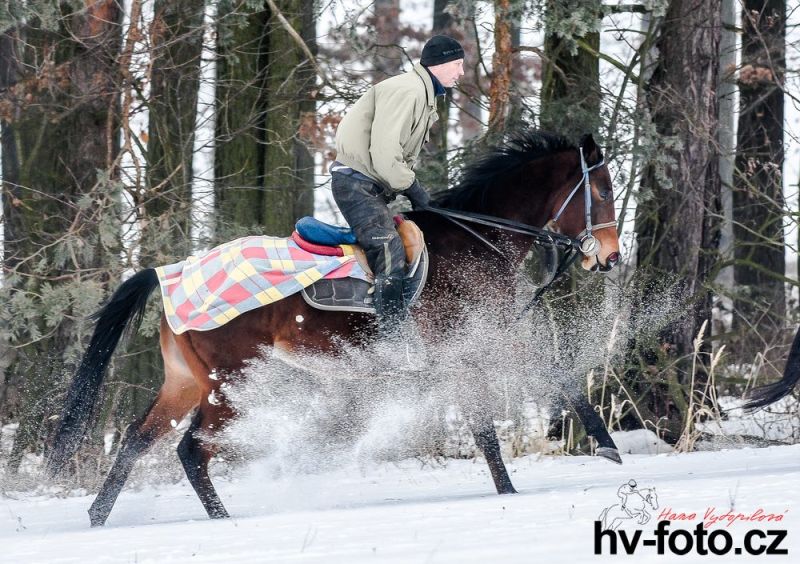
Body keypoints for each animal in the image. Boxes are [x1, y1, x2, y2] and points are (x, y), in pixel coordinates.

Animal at [45, 131, 624, 524]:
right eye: (601, 190)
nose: (611, 258)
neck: (477, 241)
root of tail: (170, 274)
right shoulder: (477, 341)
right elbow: (530, 393)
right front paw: (599, 448)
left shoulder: (482, 342)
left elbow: (522, 399)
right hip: (227, 382)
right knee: (191, 450)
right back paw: (222, 521)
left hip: (185, 380)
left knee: (136, 441)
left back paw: (97, 517)